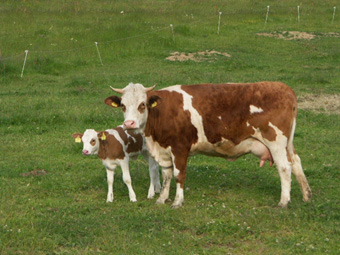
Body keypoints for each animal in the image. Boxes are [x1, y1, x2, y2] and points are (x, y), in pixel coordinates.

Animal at [105, 82, 312, 208]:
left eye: (142, 104)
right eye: (123, 106)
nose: (129, 123)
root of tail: (284, 88)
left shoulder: (180, 148)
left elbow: (179, 175)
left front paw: (177, 201)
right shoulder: (164, 151)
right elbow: (166, 176)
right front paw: (162, 199)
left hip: (276, 141)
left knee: (284, 168)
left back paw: (284, 201)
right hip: (287, 144)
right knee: (296, 162)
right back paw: (306, 195)